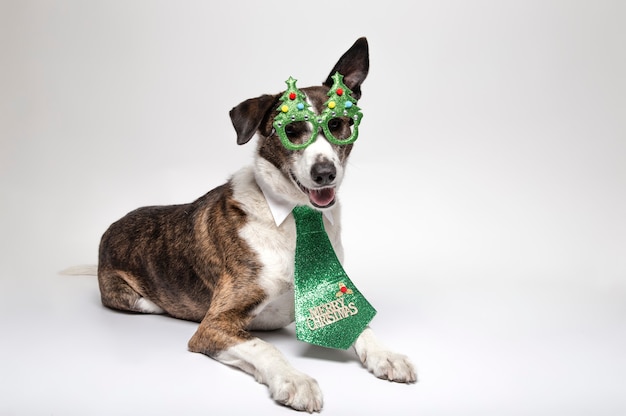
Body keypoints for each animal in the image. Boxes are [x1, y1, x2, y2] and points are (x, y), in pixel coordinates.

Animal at [94, 38, 414, 412]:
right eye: (291, 131)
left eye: (338, 124)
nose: (325, 173)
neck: (297, 218)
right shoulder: (214, 324)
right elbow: (265, 346)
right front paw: (295, 379)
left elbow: (361, 324)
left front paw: (387, 355)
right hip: (127, 295)